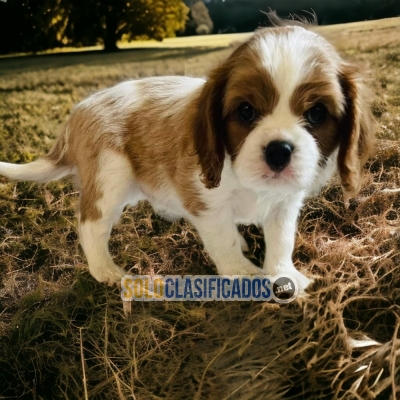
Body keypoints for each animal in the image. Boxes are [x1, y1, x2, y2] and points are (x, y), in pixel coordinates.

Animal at [0, 21, 376, 290]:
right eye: (246, 111)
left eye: (316, 113)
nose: (279, 151)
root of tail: (78, 111)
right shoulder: (205, 203)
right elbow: (223, 240)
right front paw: (244, 275)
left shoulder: (284, 204)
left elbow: (281, 240)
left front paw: (284, 274)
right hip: (110, 179)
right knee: (91, 225)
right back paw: (105, 270)